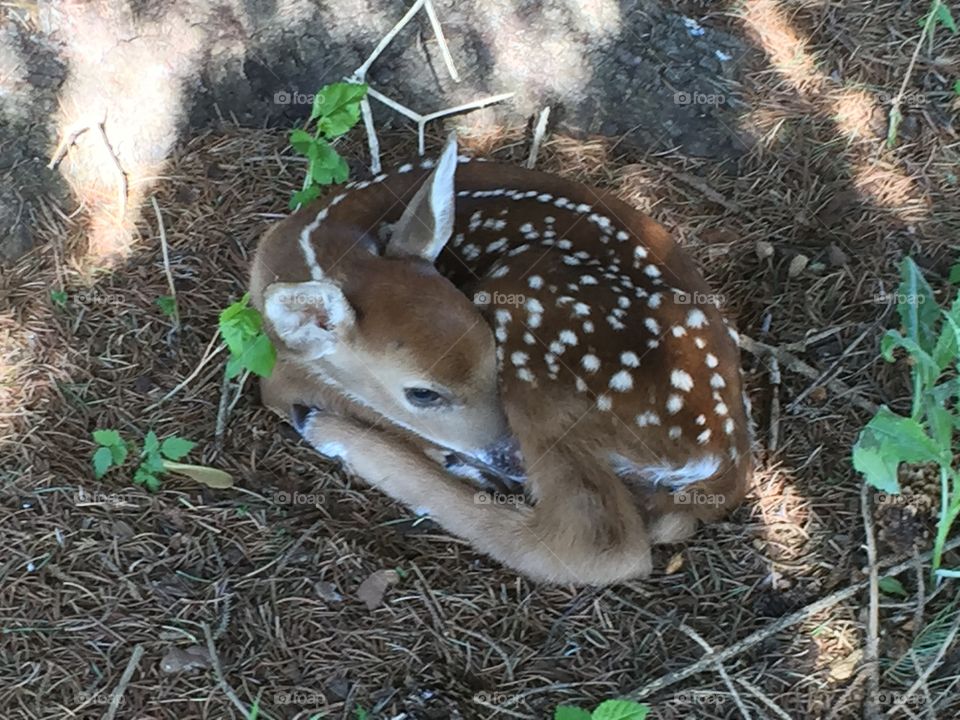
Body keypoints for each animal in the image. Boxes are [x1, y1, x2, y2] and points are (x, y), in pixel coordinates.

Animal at [249, 135, 752, 585]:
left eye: (493, 358)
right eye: (422, 393)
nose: (509, 455)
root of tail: (723, 463)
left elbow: (277, 386)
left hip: (535, 306)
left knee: (598, 544)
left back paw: (333, 433)